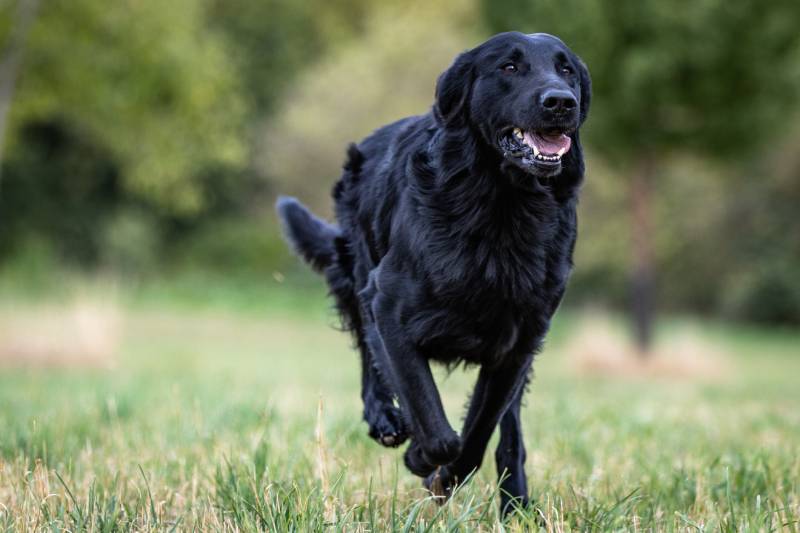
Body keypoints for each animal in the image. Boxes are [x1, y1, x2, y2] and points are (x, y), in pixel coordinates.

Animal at [278, 31, 592, 512]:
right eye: (509, 67)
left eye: (567, 69)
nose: (561, 102)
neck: (502, 205)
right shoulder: (389, 305)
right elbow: (429, 413)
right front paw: (422, 457)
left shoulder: (520, 340)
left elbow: (477, 434)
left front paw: (445, 475)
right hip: (361, 270)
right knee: (368, 351)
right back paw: (384, 418)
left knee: (510, 432)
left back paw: (516, 503)